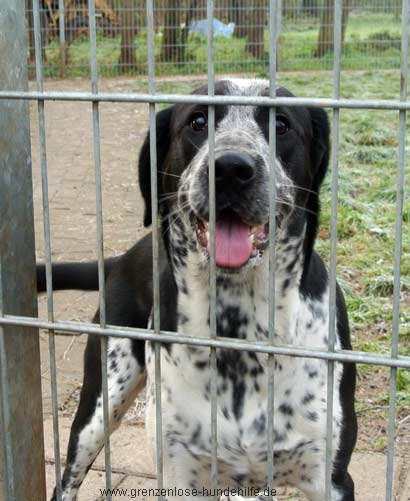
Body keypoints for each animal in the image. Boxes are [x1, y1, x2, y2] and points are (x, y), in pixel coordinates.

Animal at [38, 79, 357, 501]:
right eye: (197, 121)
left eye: (282, 125)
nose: (231, 168)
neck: (239, 329)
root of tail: (124, 257)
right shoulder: (180, 473)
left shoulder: (332, 479)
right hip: (99, 407)